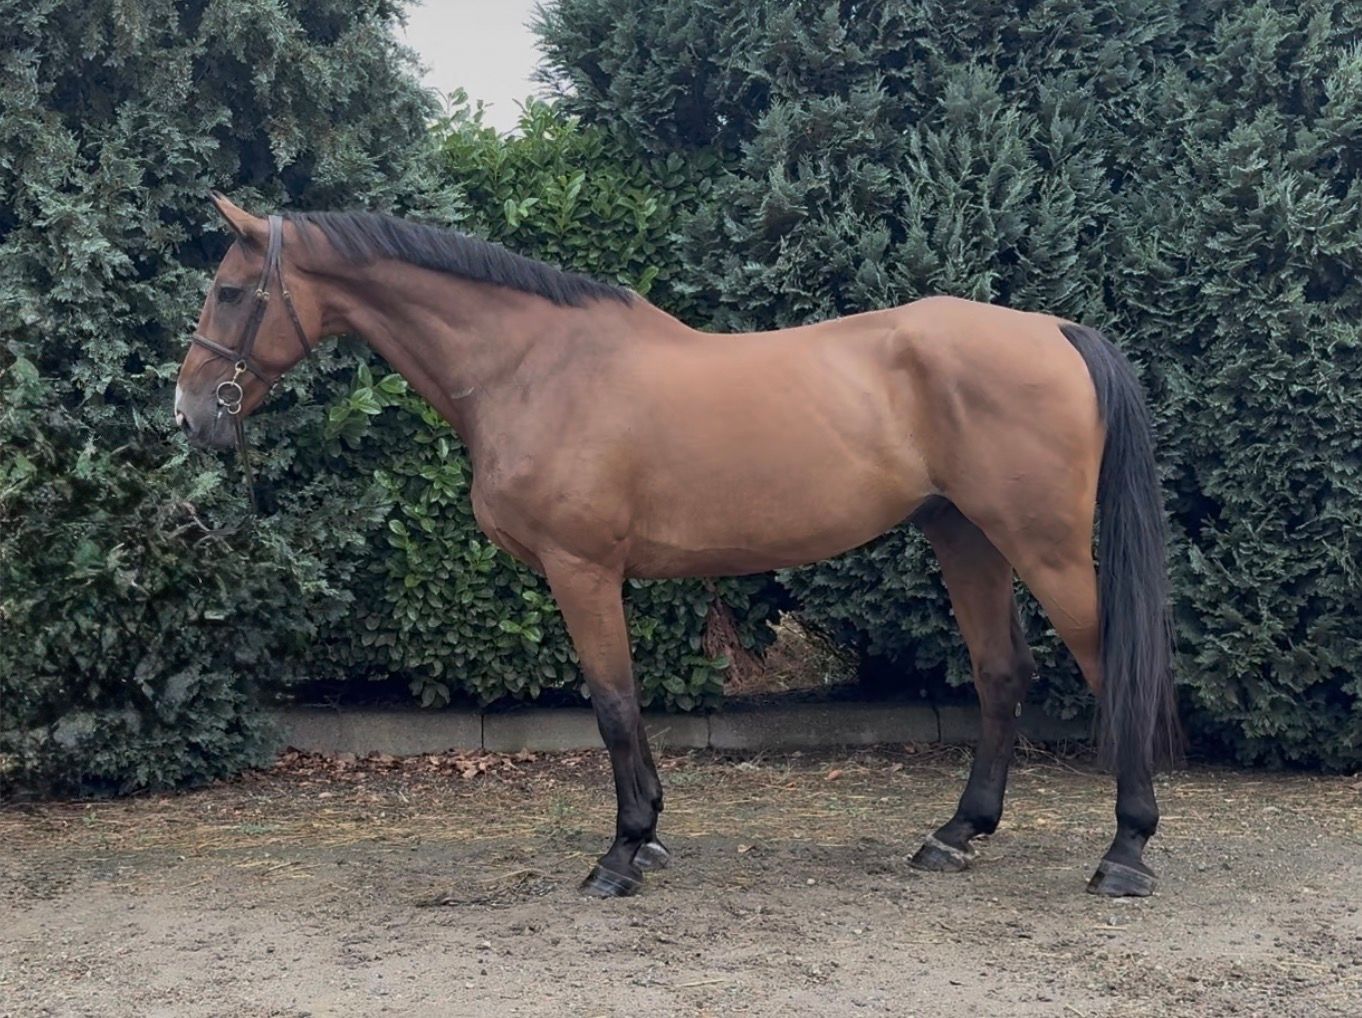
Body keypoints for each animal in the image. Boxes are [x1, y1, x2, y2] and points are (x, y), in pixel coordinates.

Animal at [175, 193, 1179, 899]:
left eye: (229, 291)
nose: (189, 416)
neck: (531, 365)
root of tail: (1054, 330)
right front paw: (648, 838)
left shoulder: (582, 571)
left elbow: (614, 704)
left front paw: (623, 851)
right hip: (965, 535)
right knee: (1002, 672)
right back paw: (955, 835)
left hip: (1044, 547)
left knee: (1109, 665)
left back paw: (1126, 852)